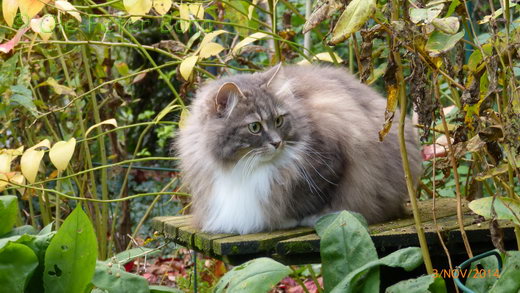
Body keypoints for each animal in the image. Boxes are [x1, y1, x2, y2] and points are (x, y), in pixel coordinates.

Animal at [177, 64, 420, 233]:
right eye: (254, 127)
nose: (277, 143)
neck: (243, 168)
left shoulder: (332, 160)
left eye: (278, 121)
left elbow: (311, 200)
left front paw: (294, 220)